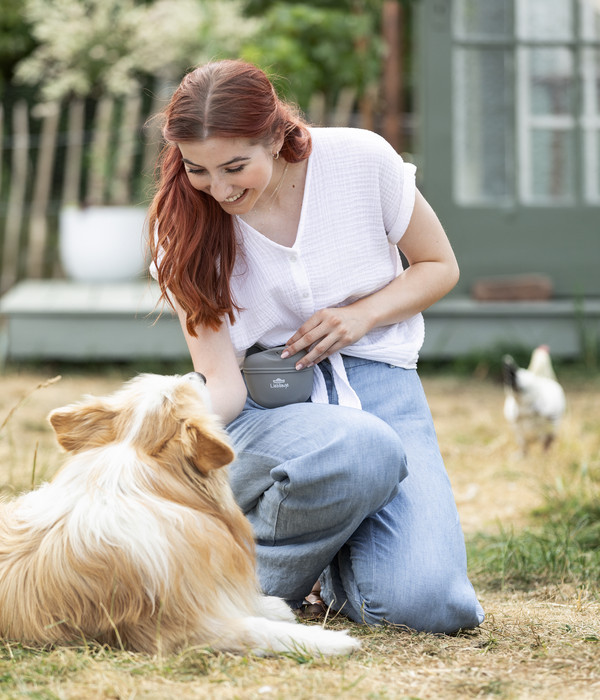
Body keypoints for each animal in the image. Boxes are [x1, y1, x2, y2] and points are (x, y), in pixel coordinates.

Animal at [0, 372, 356, 656]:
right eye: (188, 392)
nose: (200, 374)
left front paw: (271, 606)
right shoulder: (179, 628)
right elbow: (257, 631)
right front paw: (332, 641)